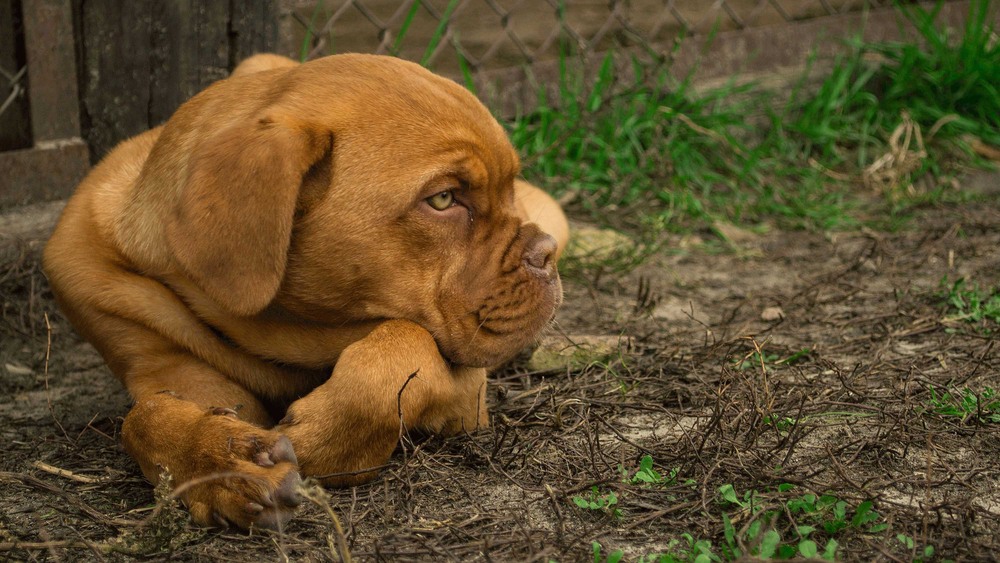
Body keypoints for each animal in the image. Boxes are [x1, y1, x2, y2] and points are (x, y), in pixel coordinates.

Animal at [45, 53, 572, 528]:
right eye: (443, 199)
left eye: (509, 187)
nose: (544, 254)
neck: (286, 329)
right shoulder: (170, 366)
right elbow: (145, 417)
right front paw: (223, 463)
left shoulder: (467, 391)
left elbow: (407, 345)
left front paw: (327, 443)